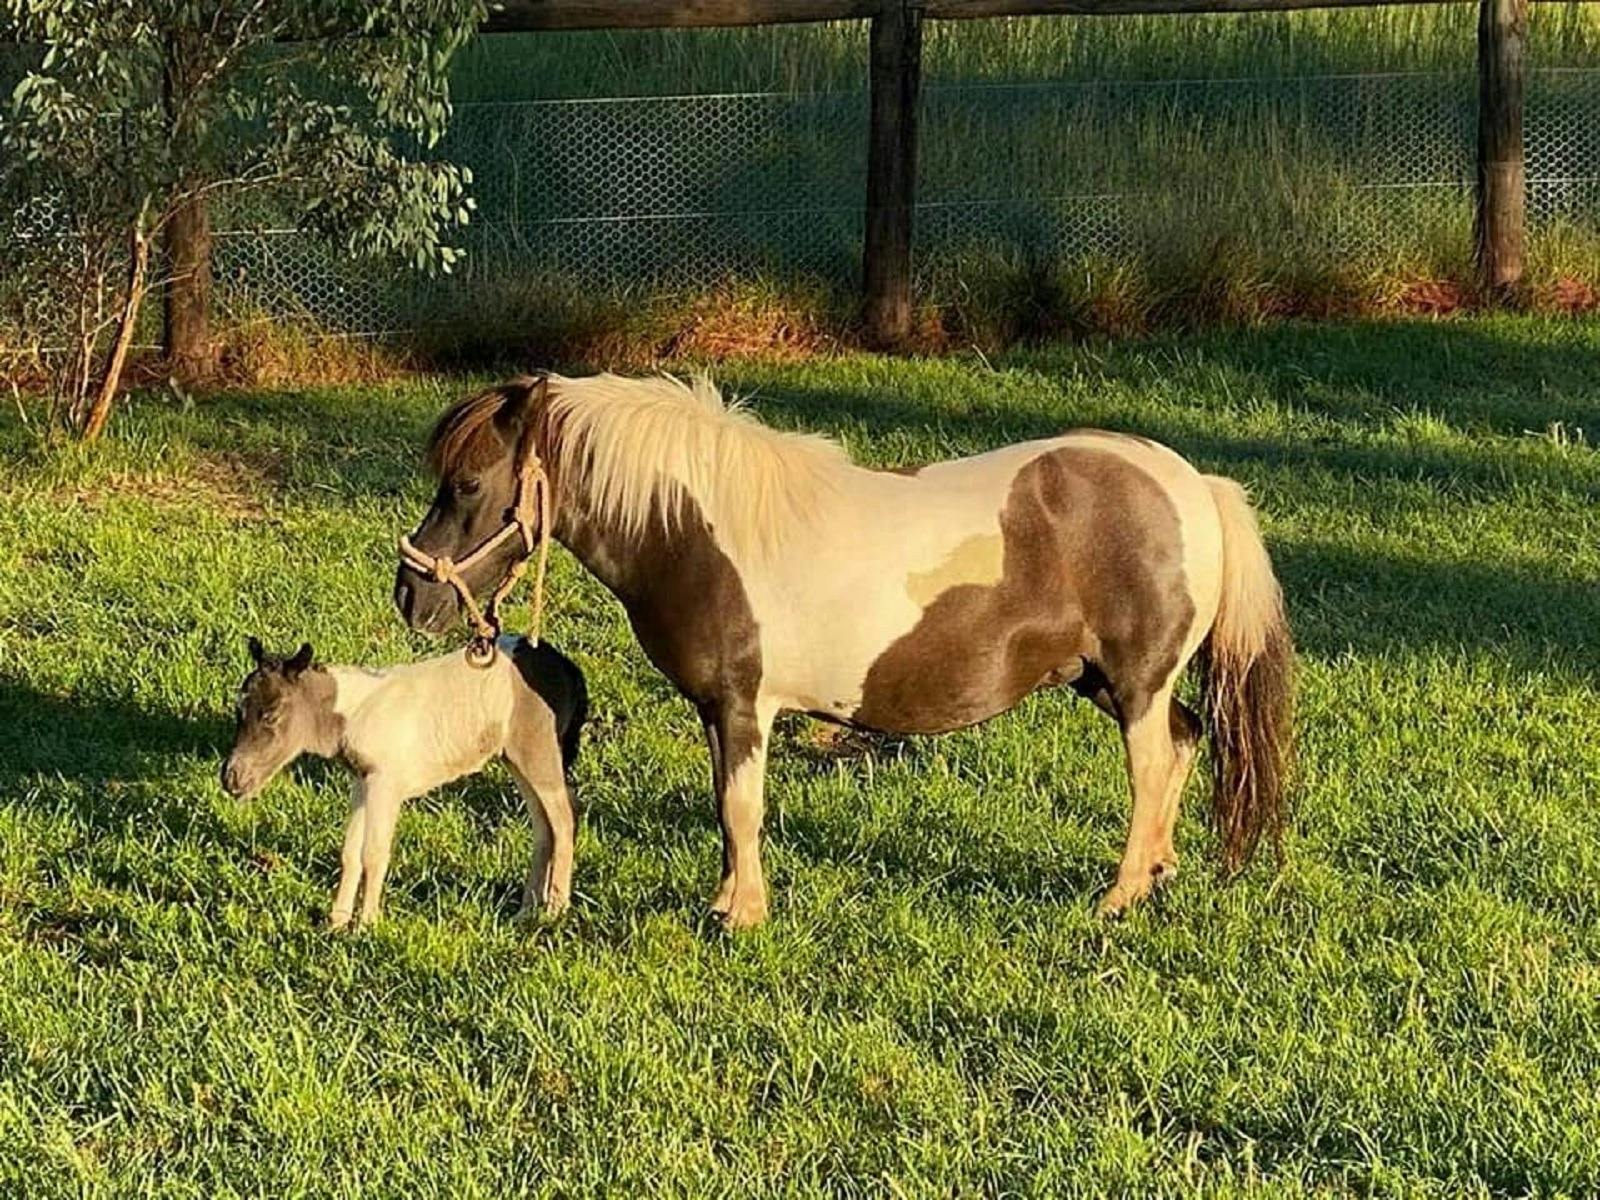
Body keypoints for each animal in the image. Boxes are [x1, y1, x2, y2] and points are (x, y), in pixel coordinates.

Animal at [393, 373, 1294, 929]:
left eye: (467, 485)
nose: (410, 594)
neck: (696, 531)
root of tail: (1193, 484)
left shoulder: (743, 705)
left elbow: (740, 807)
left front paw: (739, 916)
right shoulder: (718, 710)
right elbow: (727, 808)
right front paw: (732, 900)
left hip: (1134, 684)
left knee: (1151, 767)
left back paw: (1118, 896)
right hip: (1105, 681)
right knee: (1183, 744)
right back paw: (1156, 876)